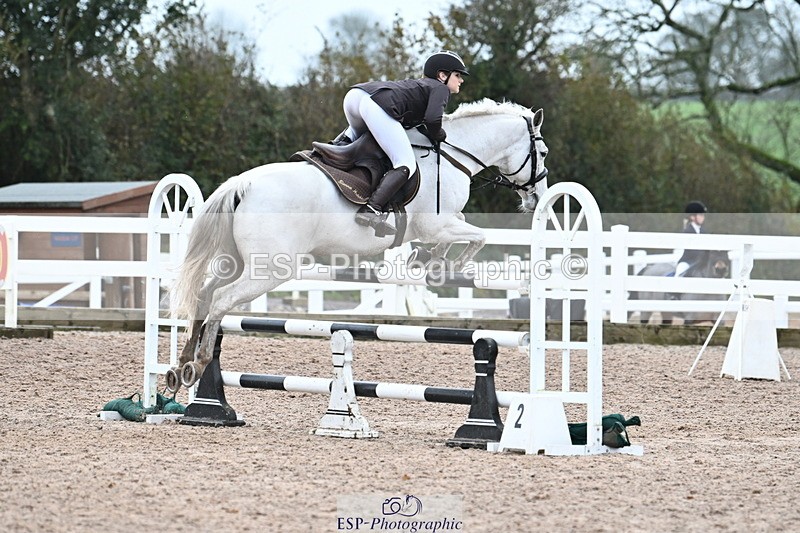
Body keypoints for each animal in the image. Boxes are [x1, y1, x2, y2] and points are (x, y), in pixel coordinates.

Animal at [167, 99, 550, 391]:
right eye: (543, 152)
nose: (537, 198)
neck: (451, 155)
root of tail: (242, 185)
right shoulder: (437, 224)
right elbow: (477, 237)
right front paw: (440, 264)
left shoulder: (438, 226)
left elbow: (459, 235)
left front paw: (425, 259)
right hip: (271, 269)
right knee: (220, 299)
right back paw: (199, 362)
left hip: (240, 262)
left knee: (205, 293)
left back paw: (181, 364)